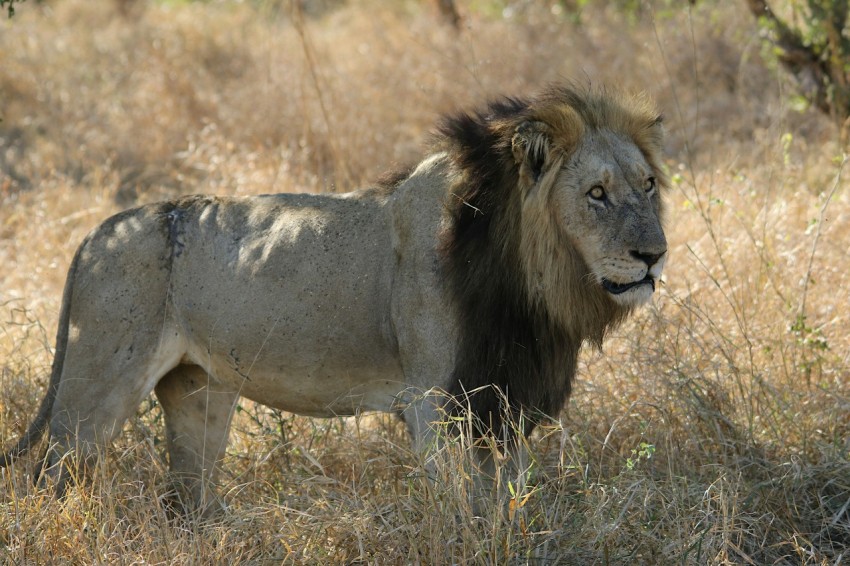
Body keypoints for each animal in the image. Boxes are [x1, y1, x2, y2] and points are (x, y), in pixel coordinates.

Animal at [0, 83, 664, 510]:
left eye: (649, 185)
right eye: (597, 193)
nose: (653, 255)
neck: (530, 287)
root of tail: (94, 234)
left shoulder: (502, 398)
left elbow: (510, 500)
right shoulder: (434, 401)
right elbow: (466, 507)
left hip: (197, 394)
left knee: (187, 500)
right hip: (94, 394)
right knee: (48, 482)